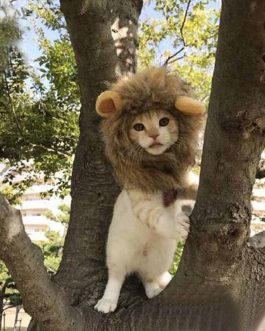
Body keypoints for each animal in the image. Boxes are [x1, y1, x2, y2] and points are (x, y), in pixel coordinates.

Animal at [94, 68, 203, 314]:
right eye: (138, 127)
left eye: (163, 121)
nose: (153, 135)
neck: (159, 168)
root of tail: (138, 262)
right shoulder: (141, 201)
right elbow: (159, 217)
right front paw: (178, 226)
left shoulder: (185, 182)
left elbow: (193, 187)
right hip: (117, 253)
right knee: (116, 278)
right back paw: (107, 302)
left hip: (159, 257)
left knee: (149, 278)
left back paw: (155, 290)